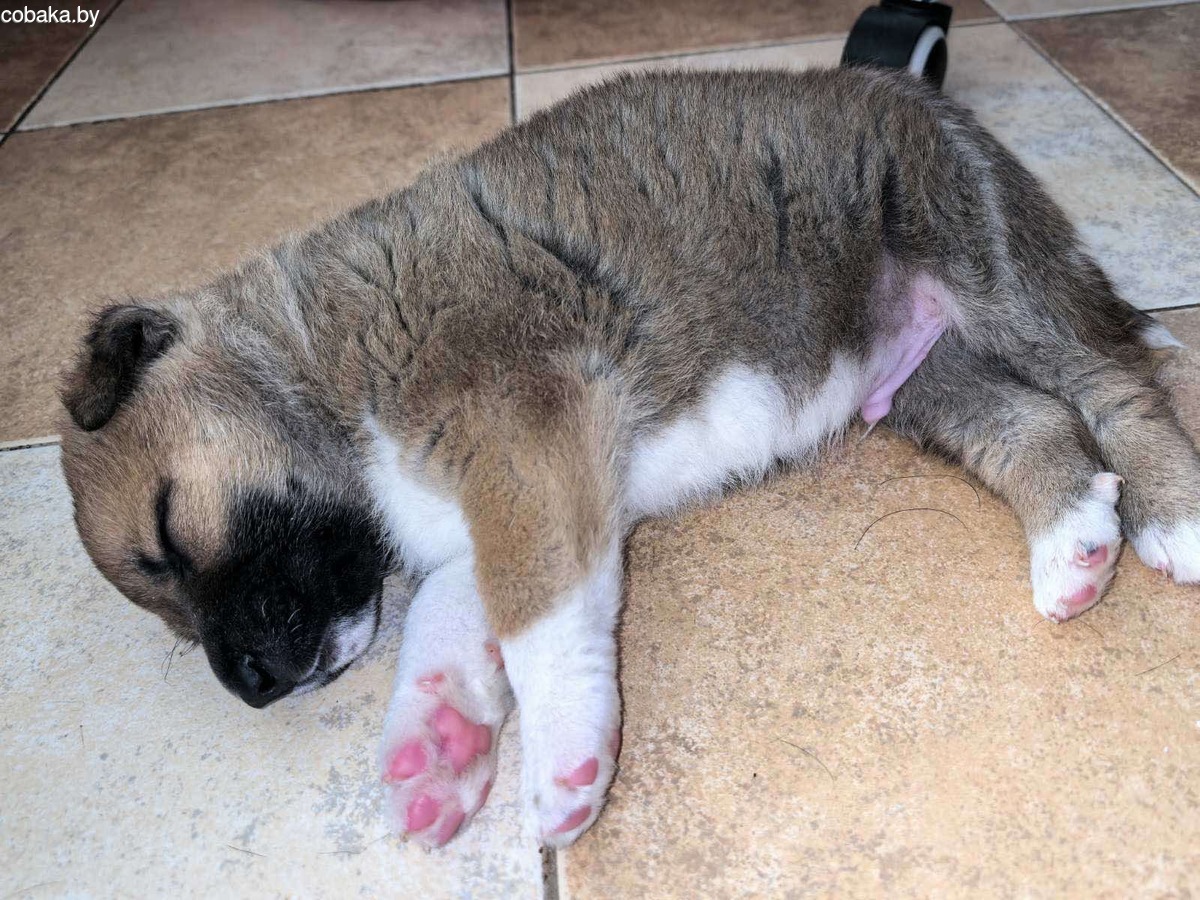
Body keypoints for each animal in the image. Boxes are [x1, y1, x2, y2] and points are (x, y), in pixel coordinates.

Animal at [59, 67, 1200, 848]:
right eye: (165, 597)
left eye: (167, 531)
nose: (250, 686)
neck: (313, 357)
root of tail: (916, 90)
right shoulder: (501, 503)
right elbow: (453, 617)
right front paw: (440, 741)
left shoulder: (522, 439)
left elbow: (538, 617)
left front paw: (564, 761)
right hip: (922, 375)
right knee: (1038, 425)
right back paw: (1074, 545)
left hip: (986, 262)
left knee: (1119, 384)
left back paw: (1174, 515)